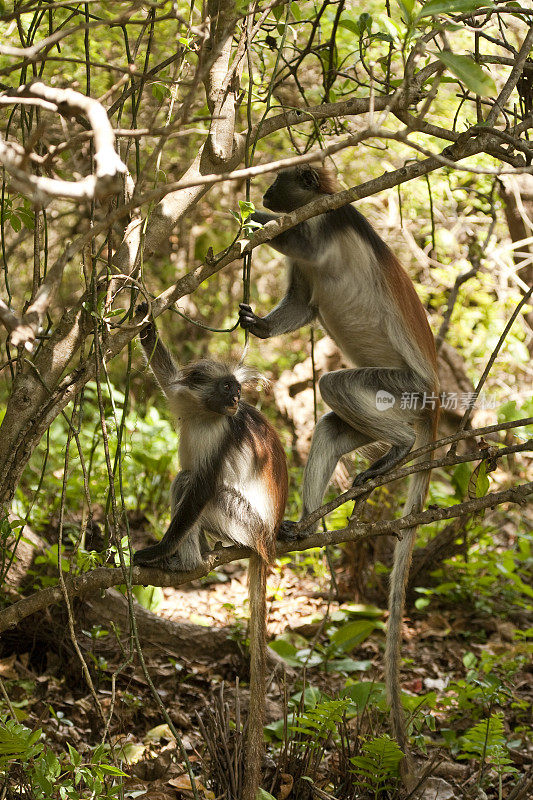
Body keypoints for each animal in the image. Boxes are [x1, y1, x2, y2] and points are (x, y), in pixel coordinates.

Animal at [239, 164, 438, 768]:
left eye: (281, 183)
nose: (267, 192)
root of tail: (433, 412)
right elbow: (303, 307)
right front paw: (258, 326)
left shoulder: (325, 226)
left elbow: (298, 242)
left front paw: (257, 219)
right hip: (387, 406)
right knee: (330, 424)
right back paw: (306, 525)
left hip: (403, 389)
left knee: (334, 385)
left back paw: (400, 450)